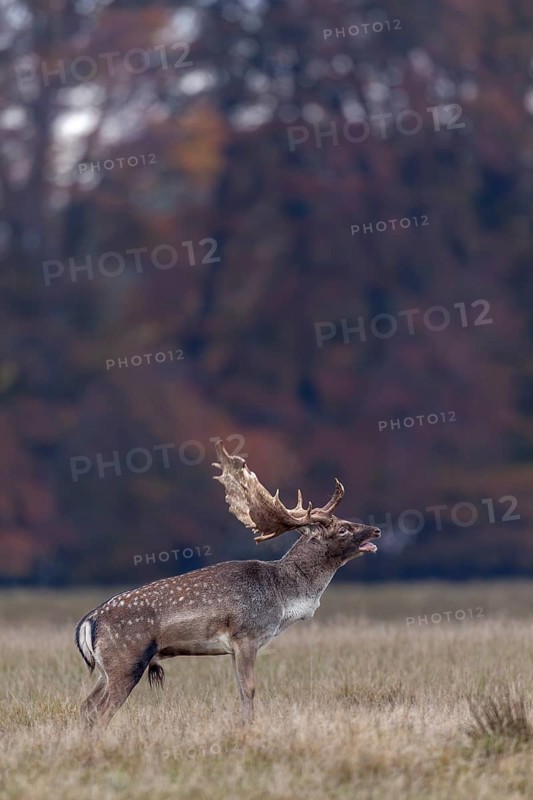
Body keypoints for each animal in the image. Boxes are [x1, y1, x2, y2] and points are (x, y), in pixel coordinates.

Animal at [75, 442, 380, 725]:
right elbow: (250, 689)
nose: (376, 530)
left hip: (107, 668)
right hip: (126, 660)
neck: (283, 597)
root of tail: (88, 622)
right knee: (100, 711)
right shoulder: (246, 635)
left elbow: (240, 690)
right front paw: (249, 726)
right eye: (343, 529)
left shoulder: (235, 646)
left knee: (86, 706)